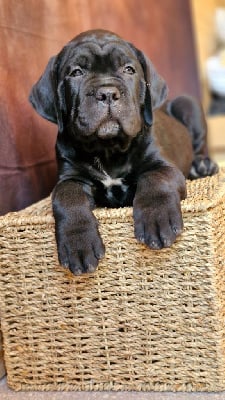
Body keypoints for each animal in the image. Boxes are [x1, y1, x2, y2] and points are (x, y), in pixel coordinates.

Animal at [29, 28, 218, 276]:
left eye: (129, 69)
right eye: (77, 72)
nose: (107, 93)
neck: (108, 149)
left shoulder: (164, 166)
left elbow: (156, 179)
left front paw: (157, 218)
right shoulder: (70, 179)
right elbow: (67, 198)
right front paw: (78, 243)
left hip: (187, 104)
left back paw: (202, 165)